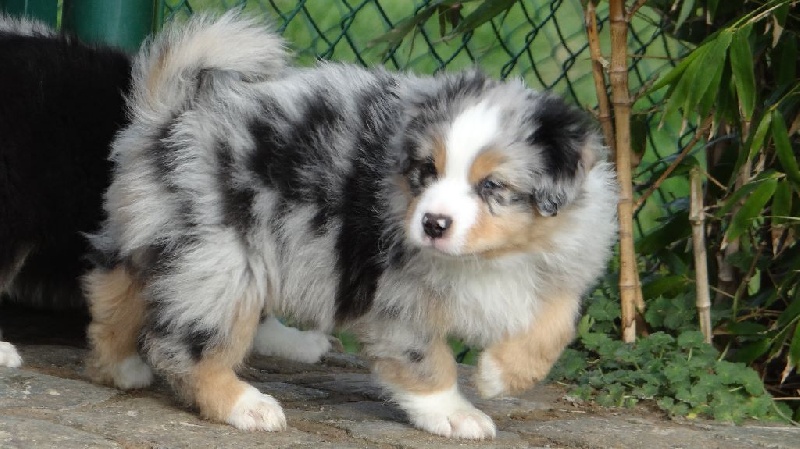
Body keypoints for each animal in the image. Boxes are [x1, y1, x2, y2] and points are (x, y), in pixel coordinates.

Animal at [85, 13, 618, 439]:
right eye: (426, 171)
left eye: (493, 186)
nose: (433, 224)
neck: (491, 257)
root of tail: (170, 116)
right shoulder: (396, 296)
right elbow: (424, 358)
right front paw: (455, 413)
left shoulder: (564, 259)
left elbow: (557, 321)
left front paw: (499, 377)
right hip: (224, 257)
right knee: (183, 343)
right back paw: (245, 405)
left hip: (163, 238)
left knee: (115, 293)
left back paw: (123, 368)